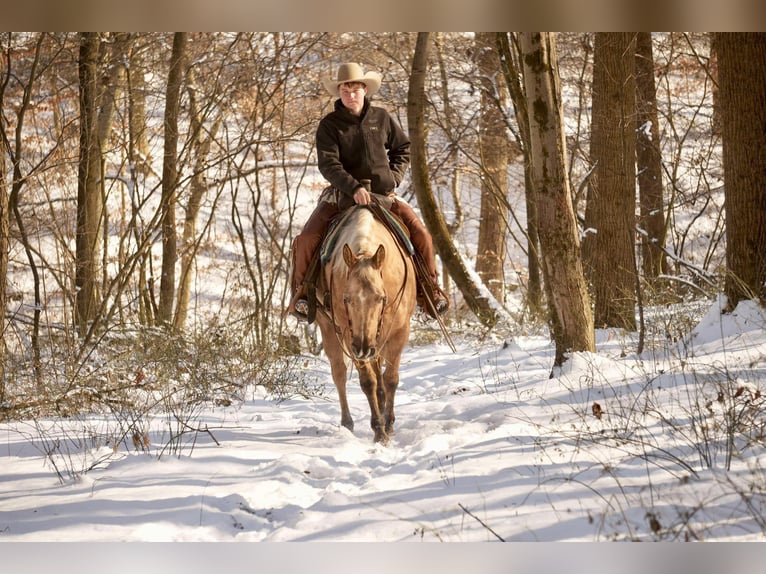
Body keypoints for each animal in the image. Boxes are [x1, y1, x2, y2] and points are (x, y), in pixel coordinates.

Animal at [316, 205, 416, 448]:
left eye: (380, 298)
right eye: (347, 299)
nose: (362, 348)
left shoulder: (399, 332)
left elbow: (391, 379)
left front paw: (388, 424)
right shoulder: (349, 335)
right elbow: (367, 381)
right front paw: (379, 430)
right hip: (331, 329)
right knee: (339, 374)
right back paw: (347, 422)